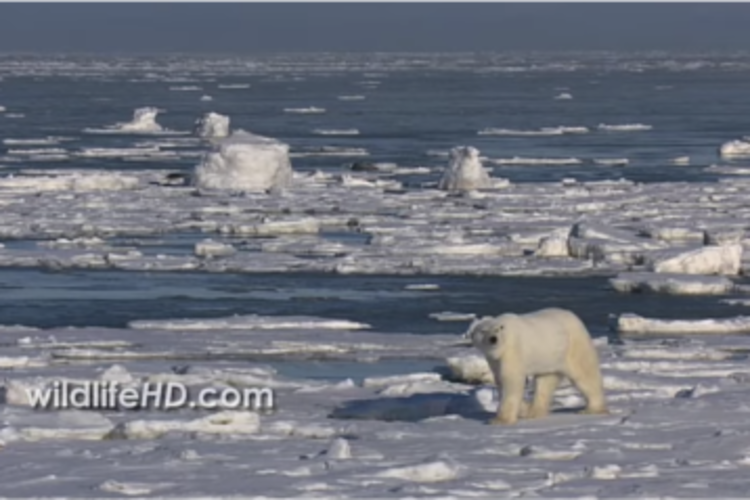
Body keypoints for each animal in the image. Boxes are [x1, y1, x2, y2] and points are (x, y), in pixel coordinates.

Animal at [465, 307, 607, 425]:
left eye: (498, 329)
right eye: (483, 331)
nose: (493, 339)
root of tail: (575, 317)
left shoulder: (513, 351)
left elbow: (510, 380)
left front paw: (499, 420)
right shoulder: (494, 359)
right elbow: (500, 379)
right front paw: (523, 409)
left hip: (573, 346)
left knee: (584, 373)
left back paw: (591, 409)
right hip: (551, 356)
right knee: (545, 382)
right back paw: (533, 412)